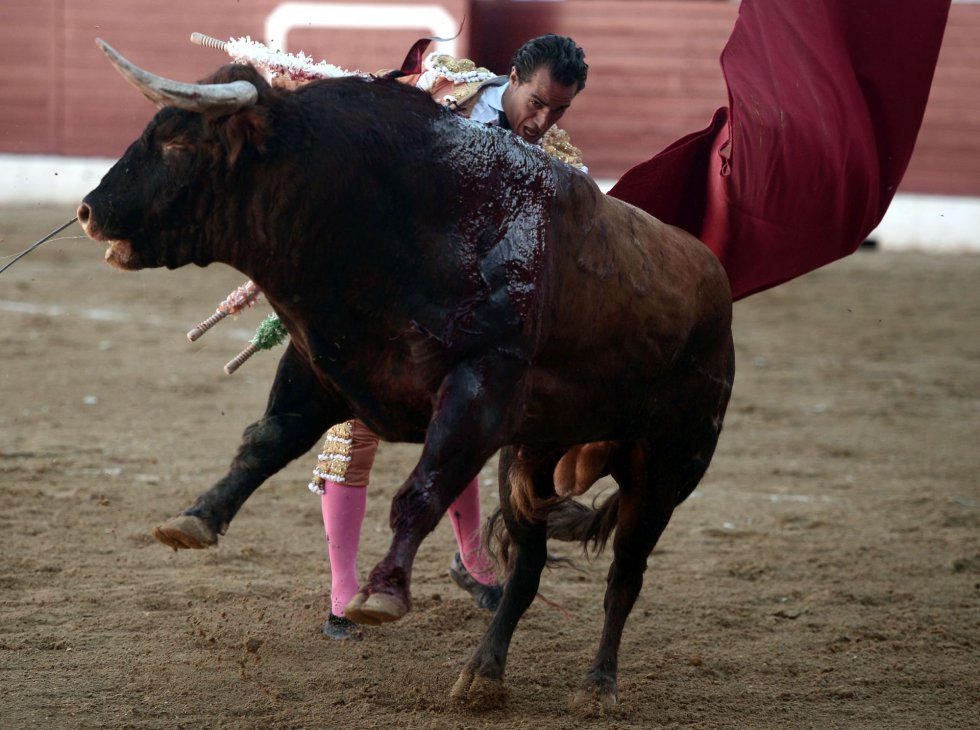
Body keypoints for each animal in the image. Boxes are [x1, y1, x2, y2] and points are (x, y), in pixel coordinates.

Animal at [78, 42, 736, 708]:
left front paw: (384, 592)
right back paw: (482, 676)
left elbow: (422, 488)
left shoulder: (479, 388)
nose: (89, 210)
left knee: (625, 573)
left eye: (178, 144)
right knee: (527, 569)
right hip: (530, 460)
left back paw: (597, 686)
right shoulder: (325, 366)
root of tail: (714, 277)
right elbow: (265, 443)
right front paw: (196, 519)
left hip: (666, 466)